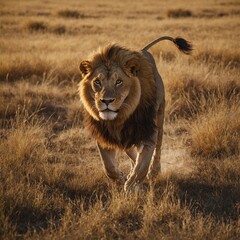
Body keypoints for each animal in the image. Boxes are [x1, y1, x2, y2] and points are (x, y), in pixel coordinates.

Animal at [79, 35, 193, 192]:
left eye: (119, 81)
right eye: (97, 82)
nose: (106, 101)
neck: (119, 119)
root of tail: (143, 50)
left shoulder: (148, 132)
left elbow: (143, 166)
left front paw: (132, 185)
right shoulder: (104, 135)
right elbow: (108, 165)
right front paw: (121, 178)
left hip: (159, 117)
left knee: (157, 148)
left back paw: (154, 171)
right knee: (132, 152)